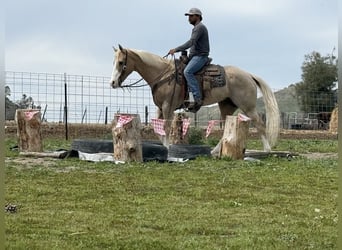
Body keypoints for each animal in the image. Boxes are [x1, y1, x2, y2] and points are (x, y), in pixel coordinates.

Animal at [111, 44, 280, 151]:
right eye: (114, 62)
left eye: (121, 62)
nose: (112, 83)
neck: (163, 75)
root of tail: (249, 75)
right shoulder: (159, 108)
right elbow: (158, 130)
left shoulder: (168, 107)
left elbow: (165, 128)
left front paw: (167, 150)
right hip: (226, 106)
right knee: (226, 128)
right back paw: (215, 151)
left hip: (248, 106)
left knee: (259, 124)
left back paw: (267, 149)